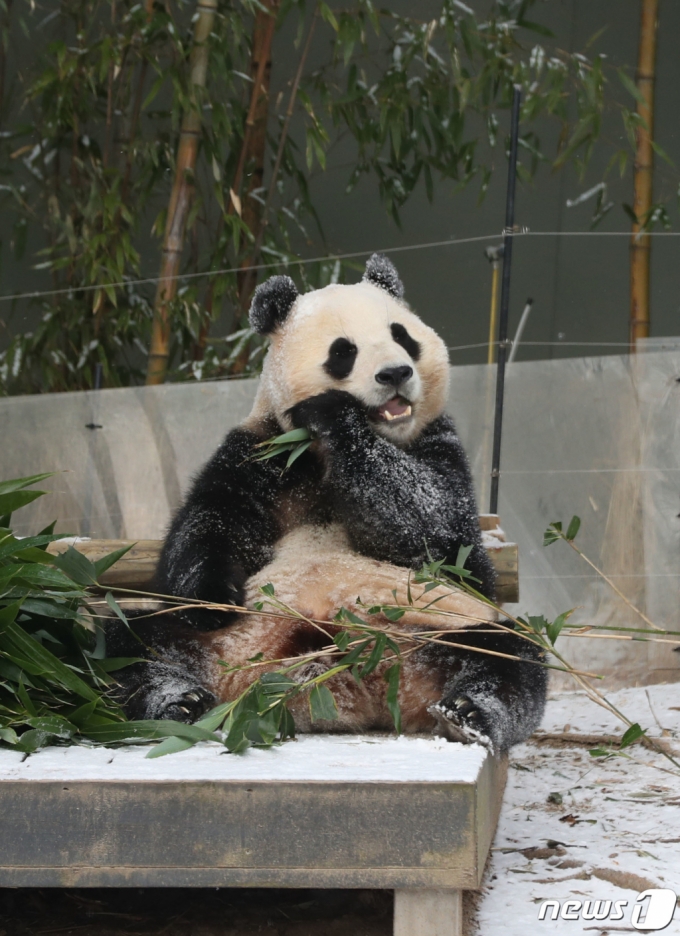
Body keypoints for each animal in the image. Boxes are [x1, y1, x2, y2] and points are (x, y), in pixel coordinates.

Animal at [111, 254, 548, 752]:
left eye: (402, 335)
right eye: (344, 351)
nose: (395, 374)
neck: (319, 454)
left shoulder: (439, 445)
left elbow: (437, 530)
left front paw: (336, 414)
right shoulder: (259, 453)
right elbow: (209, 525)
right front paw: (214, 596)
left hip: (442, 625)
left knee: (509, 656)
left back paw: (468, 713)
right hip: (218, 641)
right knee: (130, 647)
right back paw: (178, 703)